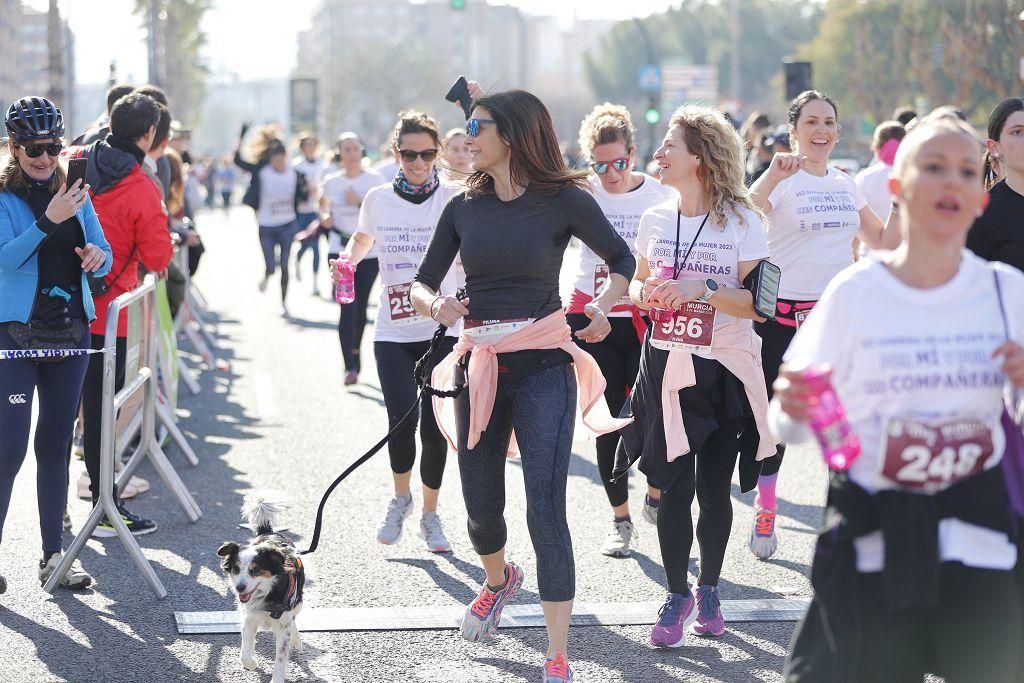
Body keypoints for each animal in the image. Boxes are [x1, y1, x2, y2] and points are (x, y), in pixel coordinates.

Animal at [219, 497, 303, 683]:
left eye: (255, 570)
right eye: (236, 569)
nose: (240, 588)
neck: (267, 594)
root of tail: (269, 532)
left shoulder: (283, 626)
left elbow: (280, 658)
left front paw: (277, 679)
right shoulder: (249, 618)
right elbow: (245, 650)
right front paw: (251, 664)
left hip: (298, 602)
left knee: (294, 618)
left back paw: (296, 640)